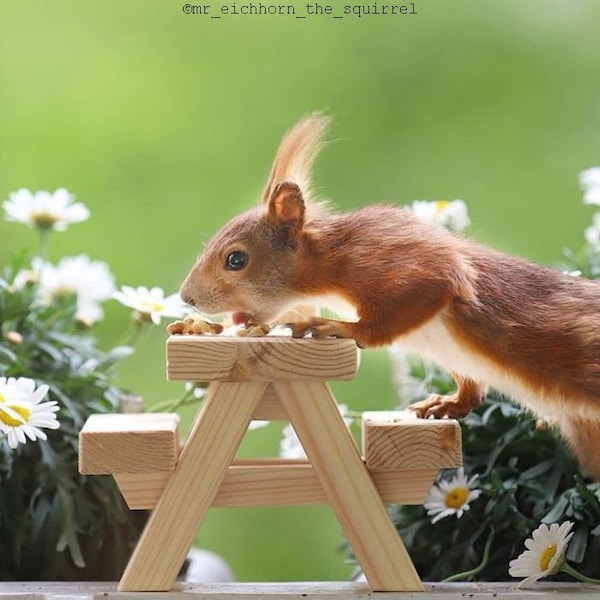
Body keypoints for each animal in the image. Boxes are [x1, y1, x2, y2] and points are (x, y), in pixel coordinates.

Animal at [180, 111, 600, 478]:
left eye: (236, 259)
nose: (187, 298)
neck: (332, 261)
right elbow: (472, 390)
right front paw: (449, 403)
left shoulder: (405, 264)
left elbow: (407, 303)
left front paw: (339, 328)